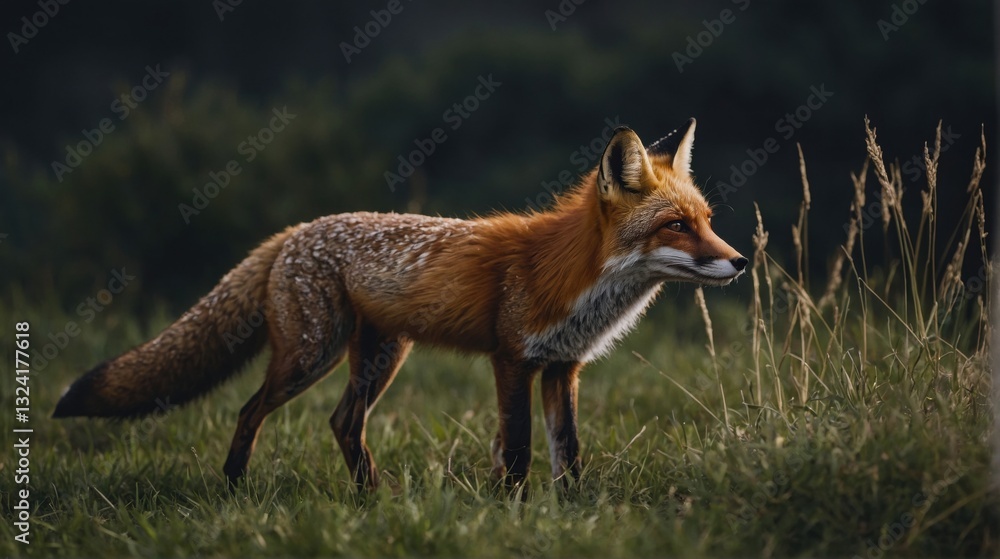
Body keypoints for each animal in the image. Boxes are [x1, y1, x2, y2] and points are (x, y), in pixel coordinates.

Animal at [53, 119, 747, 490]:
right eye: (676, 226)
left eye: (707, 221)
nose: (740, 261)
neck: (574, 279)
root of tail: (295, 230)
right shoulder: (511, 360)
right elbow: (519, 452)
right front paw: (516, 515)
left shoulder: (561, 367)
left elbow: (568, 457)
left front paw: (572, 517)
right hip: (312, 355)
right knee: (253, 411)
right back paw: (234, 488)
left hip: (381, 356)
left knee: (343, 423)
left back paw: (372, 501)